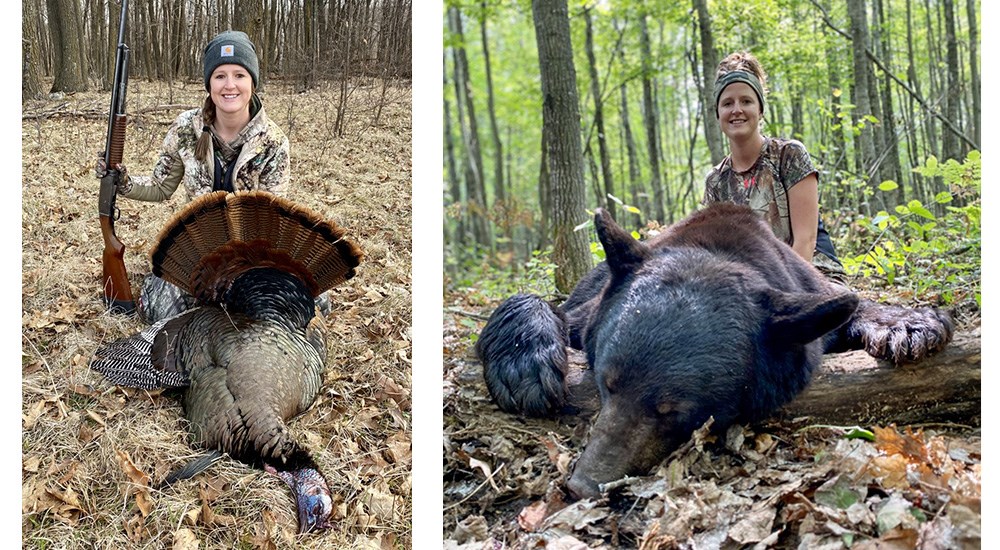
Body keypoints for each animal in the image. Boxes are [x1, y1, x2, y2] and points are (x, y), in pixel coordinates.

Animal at [476, 205, 952, 502]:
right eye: (606, 384)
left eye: (672, 410)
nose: (583, 485)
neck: (719, 248)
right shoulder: (589, 310)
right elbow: (548, 307)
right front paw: (523, 366)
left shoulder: (807, 293)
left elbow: (848, 303)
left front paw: (909, 324)